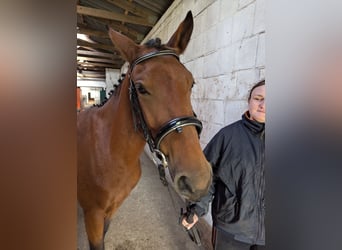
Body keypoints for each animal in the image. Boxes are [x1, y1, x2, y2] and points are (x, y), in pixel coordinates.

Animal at [77, 10, 211, 249]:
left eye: (191, 83)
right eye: (140, 88)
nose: (198, 180)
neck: (108, 150)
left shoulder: (111, 210)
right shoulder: (93, 214)